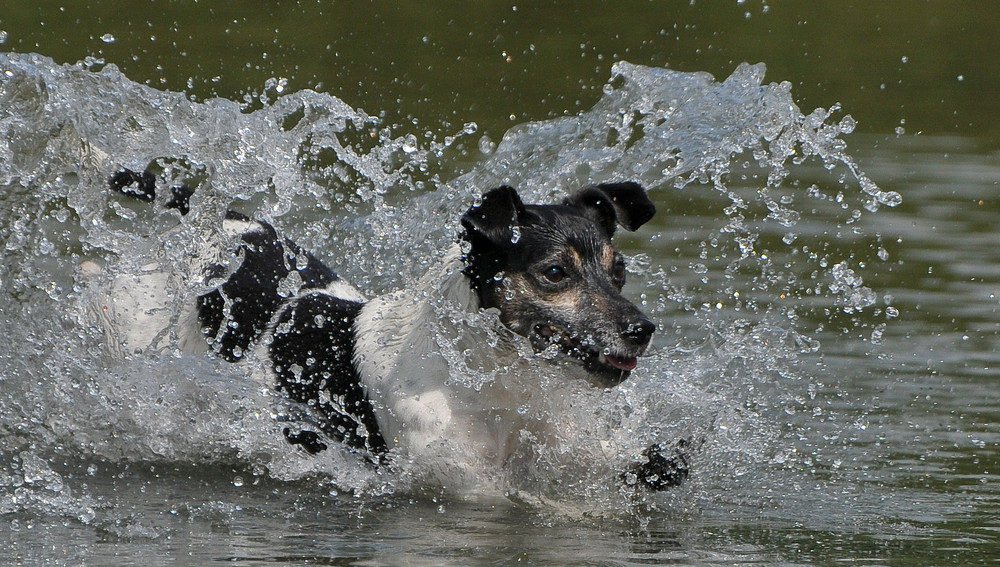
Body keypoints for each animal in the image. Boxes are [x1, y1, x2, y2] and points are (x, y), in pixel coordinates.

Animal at [103, 170, 688, 492]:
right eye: (555, 273)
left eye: (619, 271)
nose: (642, 329)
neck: (488, 380)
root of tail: (222, 225)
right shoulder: (461, 482)